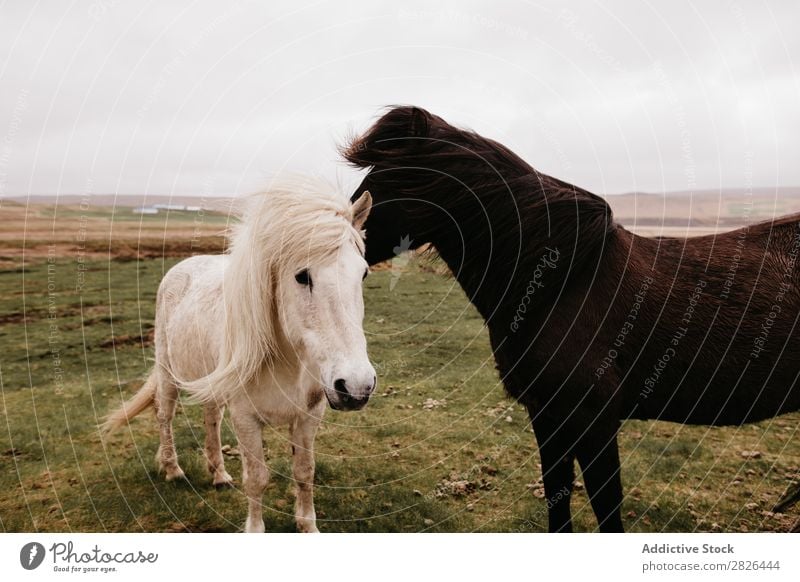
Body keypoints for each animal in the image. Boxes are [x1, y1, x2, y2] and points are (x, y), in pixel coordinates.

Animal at [102, 180, 376, 536]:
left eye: (364, 274)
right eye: (302, 276)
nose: (357, 387)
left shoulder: (308, 416)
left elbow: (305, 472)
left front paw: (308, 526)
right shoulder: (246, 418)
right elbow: (257, 478)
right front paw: (255, 529)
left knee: (210, 419)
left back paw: (218, 474)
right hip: (167, 371)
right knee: (165, 414)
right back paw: (173, 469)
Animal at [344, 105, 800, 532]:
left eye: (385, 177)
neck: (561, 282)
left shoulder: (594, 420)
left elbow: (606, 508)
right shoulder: (547, 417)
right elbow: (557, 500)